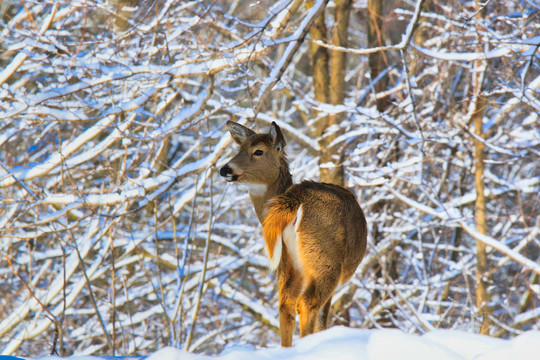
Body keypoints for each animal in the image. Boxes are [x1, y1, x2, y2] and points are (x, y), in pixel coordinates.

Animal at [219, 121, 368, 346]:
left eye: (258, 151)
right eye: (239, 149)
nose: (224, 169)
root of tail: (294, 200)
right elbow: (323, 317)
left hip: (288, 261)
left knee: (285, 304)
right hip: (326, 259)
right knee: (307, 302)